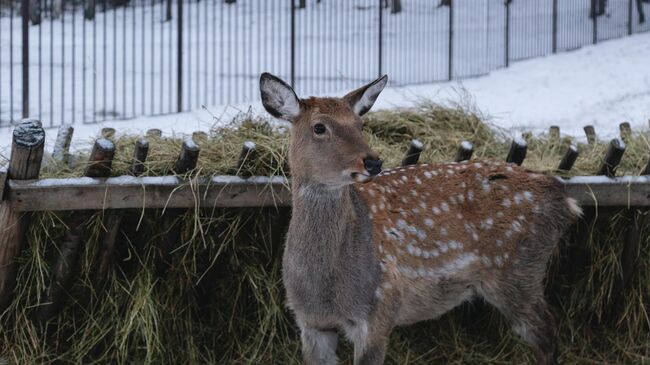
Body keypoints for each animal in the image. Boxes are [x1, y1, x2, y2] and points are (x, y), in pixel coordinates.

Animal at [258, 72, 584, 364]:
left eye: (360, 124)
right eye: (319, 127)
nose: (373, 161)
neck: (326, 288)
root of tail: (564, 199)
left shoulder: (379, 310)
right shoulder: (311, 323)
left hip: (517, 271)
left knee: (547, 332)